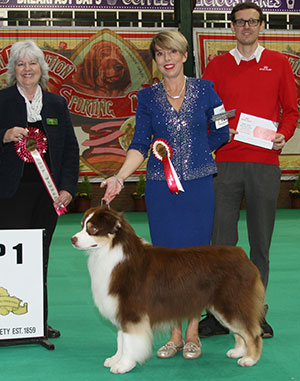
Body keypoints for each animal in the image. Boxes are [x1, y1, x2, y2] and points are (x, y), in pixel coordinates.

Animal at [71, 206, 264, 372]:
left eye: (92, 229)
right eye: (82, 225)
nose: (73, 239)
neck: (111, 252)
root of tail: (242, 254)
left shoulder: (131, 312)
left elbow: (129, 341)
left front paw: (124, 365)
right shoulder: (120, 310)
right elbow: (121, 340)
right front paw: (115, 359)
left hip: (230, 303)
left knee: (252, 332)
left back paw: (250, 359)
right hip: (223, 307)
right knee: (240, 332)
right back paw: (238, 352)